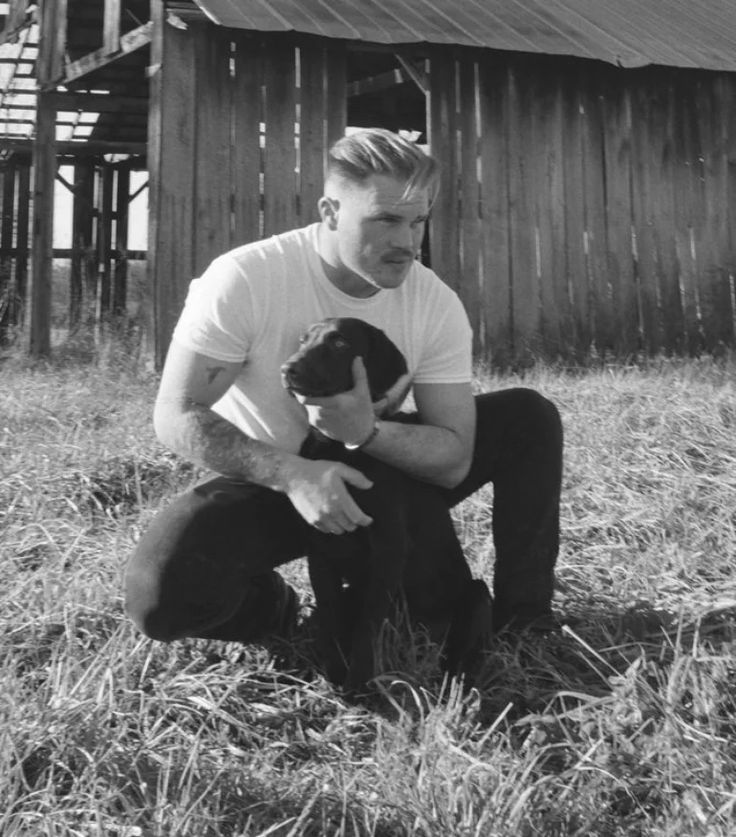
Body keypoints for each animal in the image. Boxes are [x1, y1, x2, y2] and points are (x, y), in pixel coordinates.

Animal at [282, 316, 494, 688]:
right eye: (303, 339)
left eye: (340, 342)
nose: (287, 368)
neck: (336, 447)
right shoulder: (319, 549)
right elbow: (330, 617)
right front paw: (334, 675)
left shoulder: (389, 547)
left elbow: (368, 626)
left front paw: (358, 684)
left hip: (476, 595)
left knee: (461, 653)